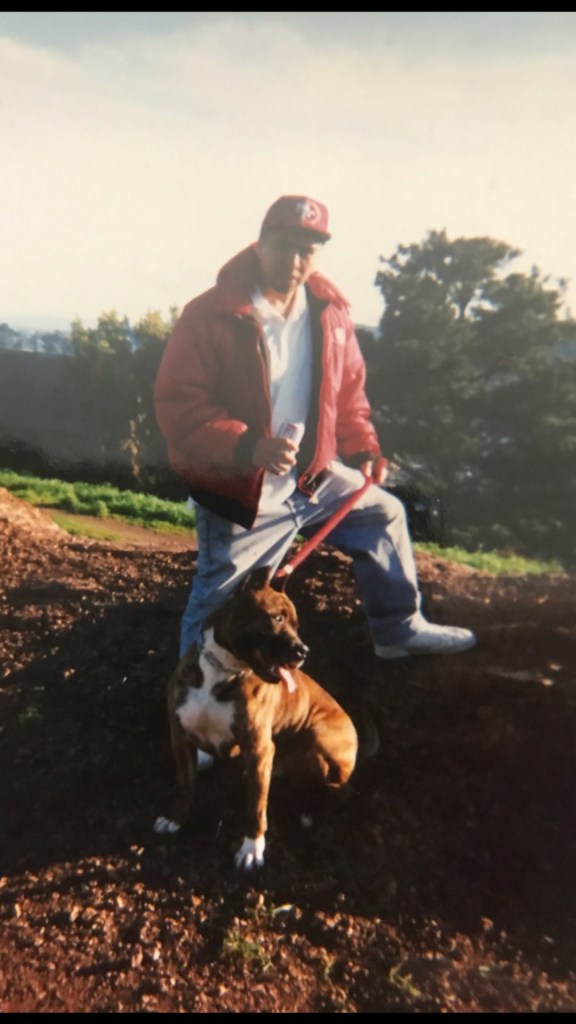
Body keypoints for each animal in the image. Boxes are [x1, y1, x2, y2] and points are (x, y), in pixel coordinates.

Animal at [154, 566, 358, 870]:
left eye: (296, 625)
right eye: (277, 618)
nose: (303, 651)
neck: (223, 669)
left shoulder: (259, 747)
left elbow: (256, 806)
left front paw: (251, 847)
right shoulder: (180, 735)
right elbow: (185, 783)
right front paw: (176, 818)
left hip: (320, 737)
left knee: (338, 788)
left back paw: (309, 810)